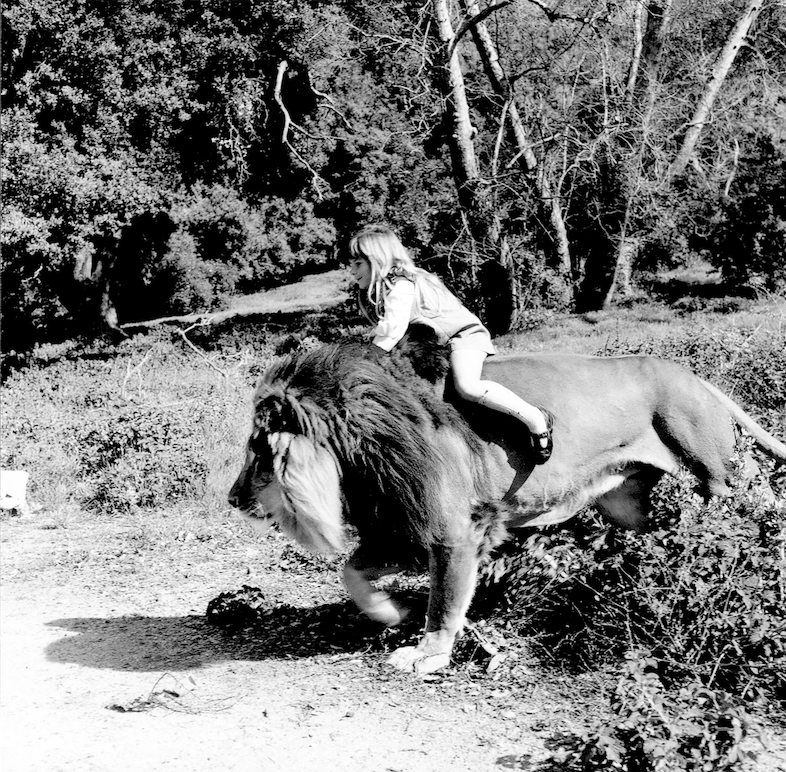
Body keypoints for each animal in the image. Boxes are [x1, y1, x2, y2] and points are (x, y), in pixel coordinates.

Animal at [228, 328, 786, 675]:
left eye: (258, 451)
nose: (232, 499)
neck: (359, 445)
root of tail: (692, 373)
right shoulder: (403, 526)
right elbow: (353, 574)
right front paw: (394, 612)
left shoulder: (454, 530)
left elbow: (444, 602)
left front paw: (428, 655)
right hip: (622, 501)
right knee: (651, 526)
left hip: (715, 470)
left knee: (750, 493)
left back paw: (757, 544)